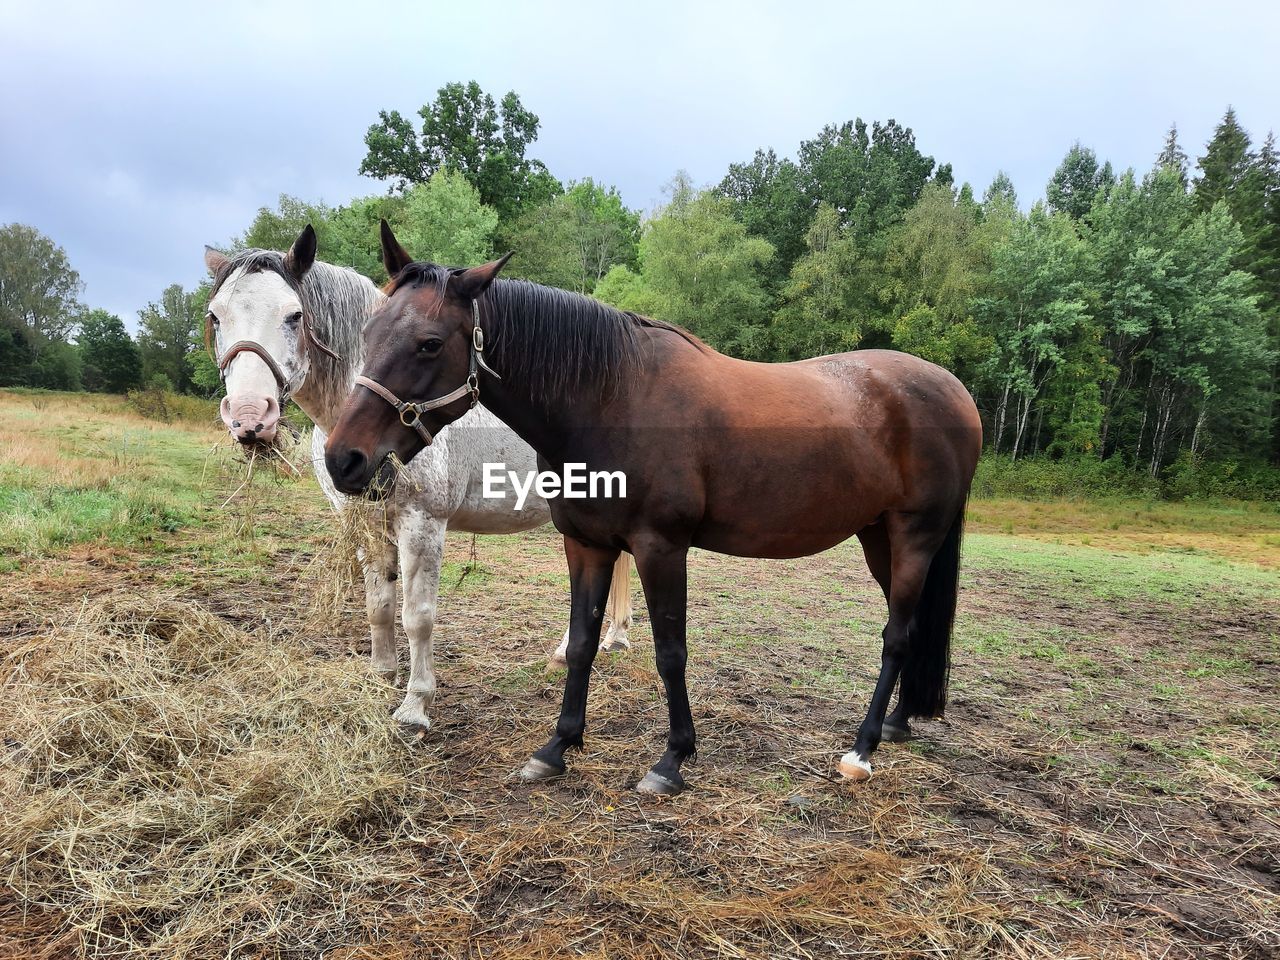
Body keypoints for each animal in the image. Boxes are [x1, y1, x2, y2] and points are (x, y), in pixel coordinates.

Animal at [327, 224, 977, 798]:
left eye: (430, 343)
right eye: (368, 332)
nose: (343, 460)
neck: (611, 399)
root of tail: (955, 390)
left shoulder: (660, 547)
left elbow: (671, 650)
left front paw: (673, 760)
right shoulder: (586, 544)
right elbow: (582, 642)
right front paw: (556, 748)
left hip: (914, 537)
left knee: (896, 635)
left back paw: (862, 749)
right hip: (878, 539)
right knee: (910, 627)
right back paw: (896, 724)